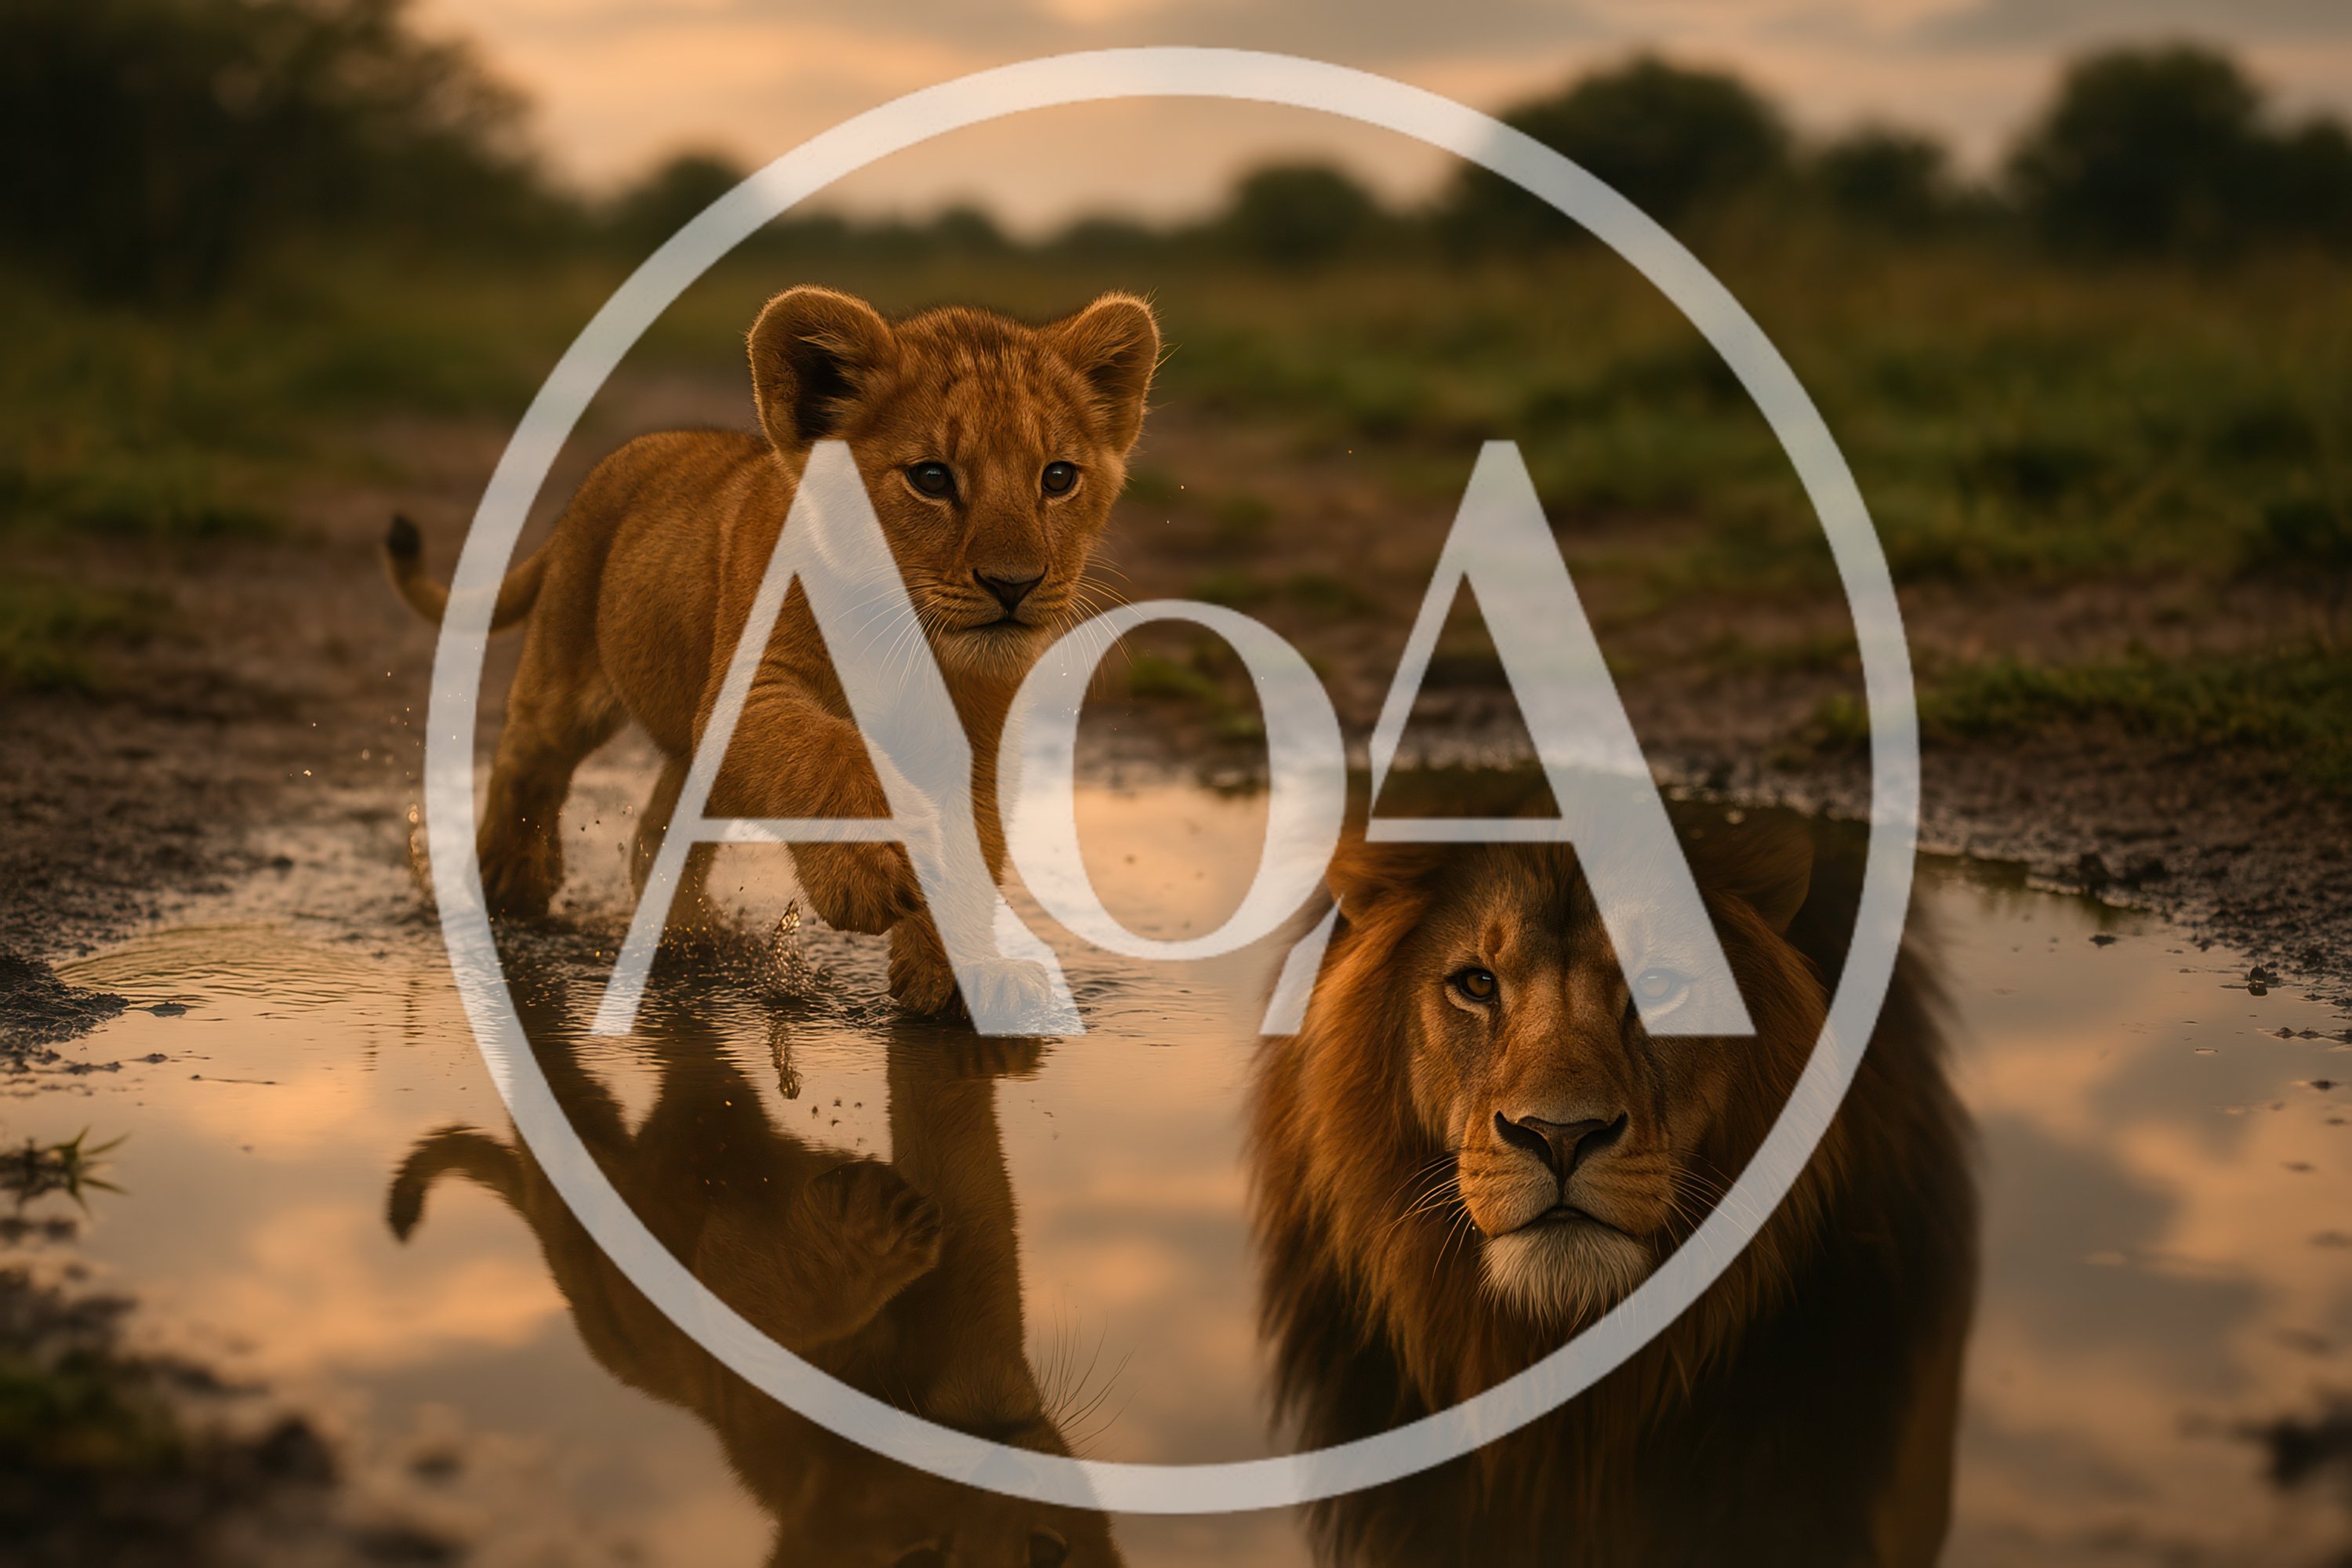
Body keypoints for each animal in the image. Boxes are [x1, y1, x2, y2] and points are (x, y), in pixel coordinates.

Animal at [384, 285, 1159, 1011]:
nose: (1014, 584)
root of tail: (618, 462)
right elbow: (827, 751)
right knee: (528, 752)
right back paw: (511, 881)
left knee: (658, 830)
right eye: (932, 478)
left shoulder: (976, 740)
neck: (912, 646)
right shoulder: (752, 692)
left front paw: (969, 979)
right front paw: (873, 875)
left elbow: (976, 848)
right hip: (567, 663)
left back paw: (686, 936)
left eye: (1057, 477)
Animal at [388, 963, 1122, 1566]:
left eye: (1051, 1555)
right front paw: (871, 1233)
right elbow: (773, 1295)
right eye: (918, 1563)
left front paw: (996, 1023)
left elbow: (955, 1135)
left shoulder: (976, 1282)